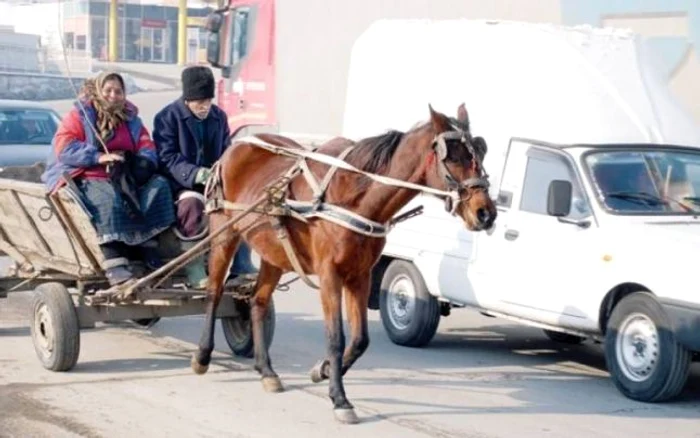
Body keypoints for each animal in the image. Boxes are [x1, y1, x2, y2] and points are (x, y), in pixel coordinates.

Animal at [191, 103, 498, 424]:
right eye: (454, 156)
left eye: (480, 151)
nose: (485, 213)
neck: (354, 197)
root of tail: (237, 146)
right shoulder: (330, 275)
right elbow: (336, 337)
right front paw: (339, 398)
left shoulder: (360, 275)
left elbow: (360, 339)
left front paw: (323, 370)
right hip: (224, 233)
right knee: (214, 292)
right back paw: (202, 355)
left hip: (273, 252)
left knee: (258, 301)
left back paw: (266, 370)